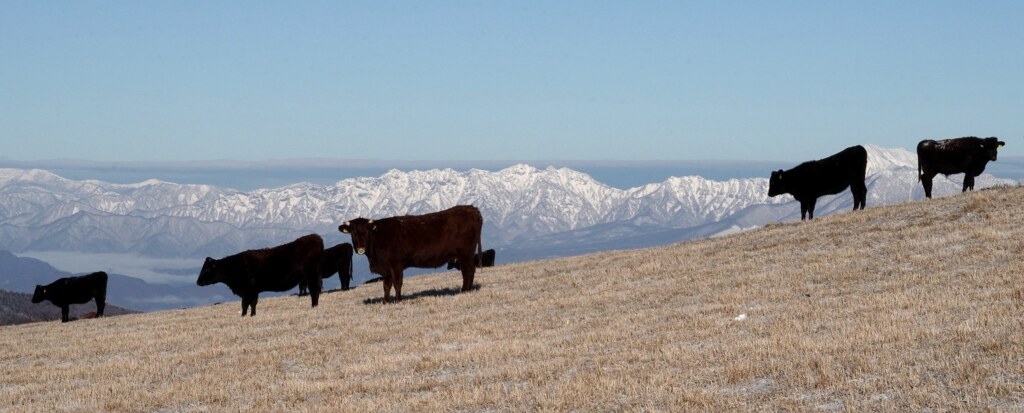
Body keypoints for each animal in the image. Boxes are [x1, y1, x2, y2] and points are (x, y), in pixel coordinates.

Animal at [339, 204, 483, 303]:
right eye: (353, 232)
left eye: (367, 232)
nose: (360, 248)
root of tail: (472, 209)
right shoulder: (386, 267)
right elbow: (386, 285)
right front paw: (385, 302)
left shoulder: (396, 264)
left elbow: (397, 283)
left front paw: (398, 301)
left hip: (465, 253)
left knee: (468, 271)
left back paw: (464, 291)